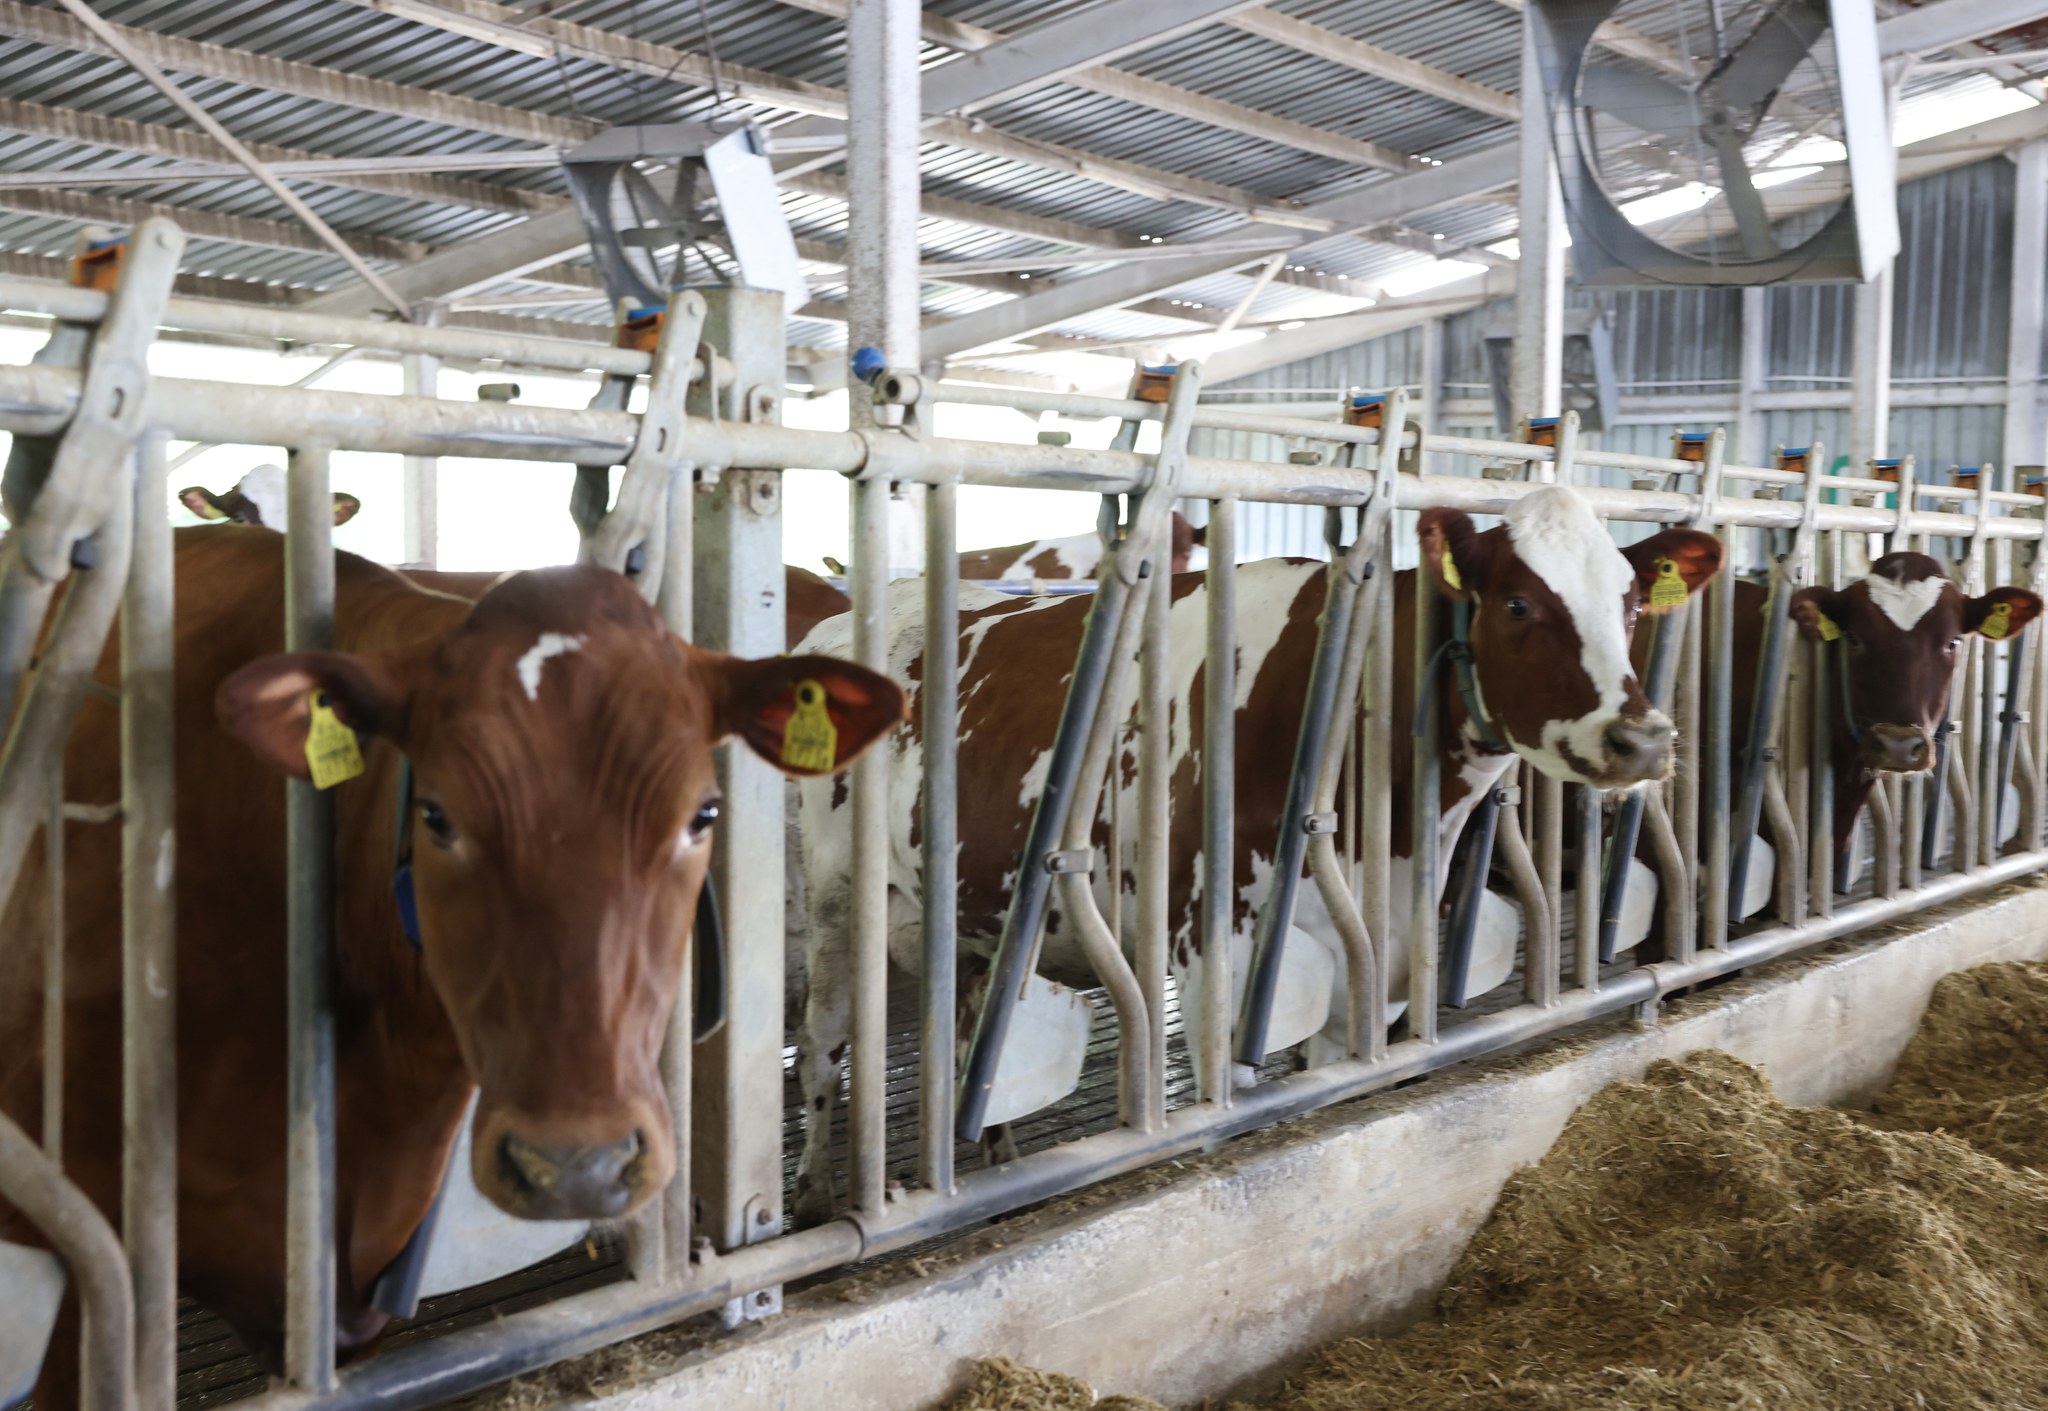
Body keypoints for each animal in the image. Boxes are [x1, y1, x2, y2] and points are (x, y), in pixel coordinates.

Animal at [789, 485, 1722, 1219]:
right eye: (1519, 605)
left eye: (1633, 604)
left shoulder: (1363, 967)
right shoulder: (1213, 953)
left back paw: (996, 1156)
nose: (1644, 739)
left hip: (967, 902)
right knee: (826, 1041)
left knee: (970, 1020)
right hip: (837, 895)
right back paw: (816, 1194)